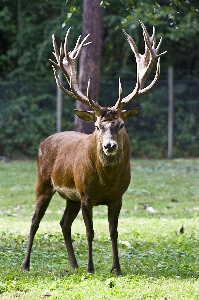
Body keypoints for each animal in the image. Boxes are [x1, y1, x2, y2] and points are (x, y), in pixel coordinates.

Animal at [21, 20, 166, 274]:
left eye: (120, 124)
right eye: (98, 126)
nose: (109, 146)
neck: (106, 181)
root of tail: (44, 141)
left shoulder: (117, 197)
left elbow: (114, 232)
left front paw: (116, 268)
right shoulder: (86, 195)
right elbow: (90, 232)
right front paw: (91, 268)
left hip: (71, 198)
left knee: (64, 223)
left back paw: (73, 264)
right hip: (44, 182)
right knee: (34, 221)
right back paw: (26, 264)